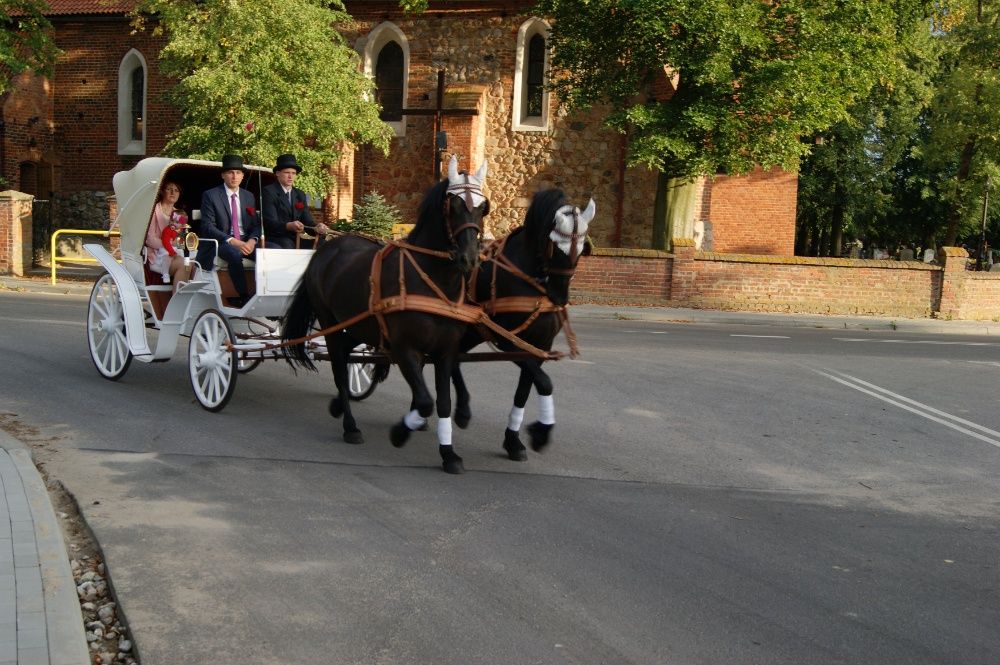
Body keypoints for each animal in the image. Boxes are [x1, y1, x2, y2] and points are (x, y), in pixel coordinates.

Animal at [282, 157, 488, 472]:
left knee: (346, 352)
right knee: (339, 368)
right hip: (331, 323)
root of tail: (327, 248)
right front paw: (401, 432)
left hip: (359, 326)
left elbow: (443, 403)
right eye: (453, 205)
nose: (469, 258)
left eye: (482, 207)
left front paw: (448, 453)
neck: (431, 281)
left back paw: (339, 405)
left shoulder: (445, 351)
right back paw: (350, 426)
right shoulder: (404, 349)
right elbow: (425, 401)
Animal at [454, 185, 592, 456]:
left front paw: (513, 439)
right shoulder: (507, 340)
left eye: (582, 248)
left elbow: (525, 390)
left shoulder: (540, 345)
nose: (560, 296)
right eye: (554, 246)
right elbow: (545, 383)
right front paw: (541, 431)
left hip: (470, 332)